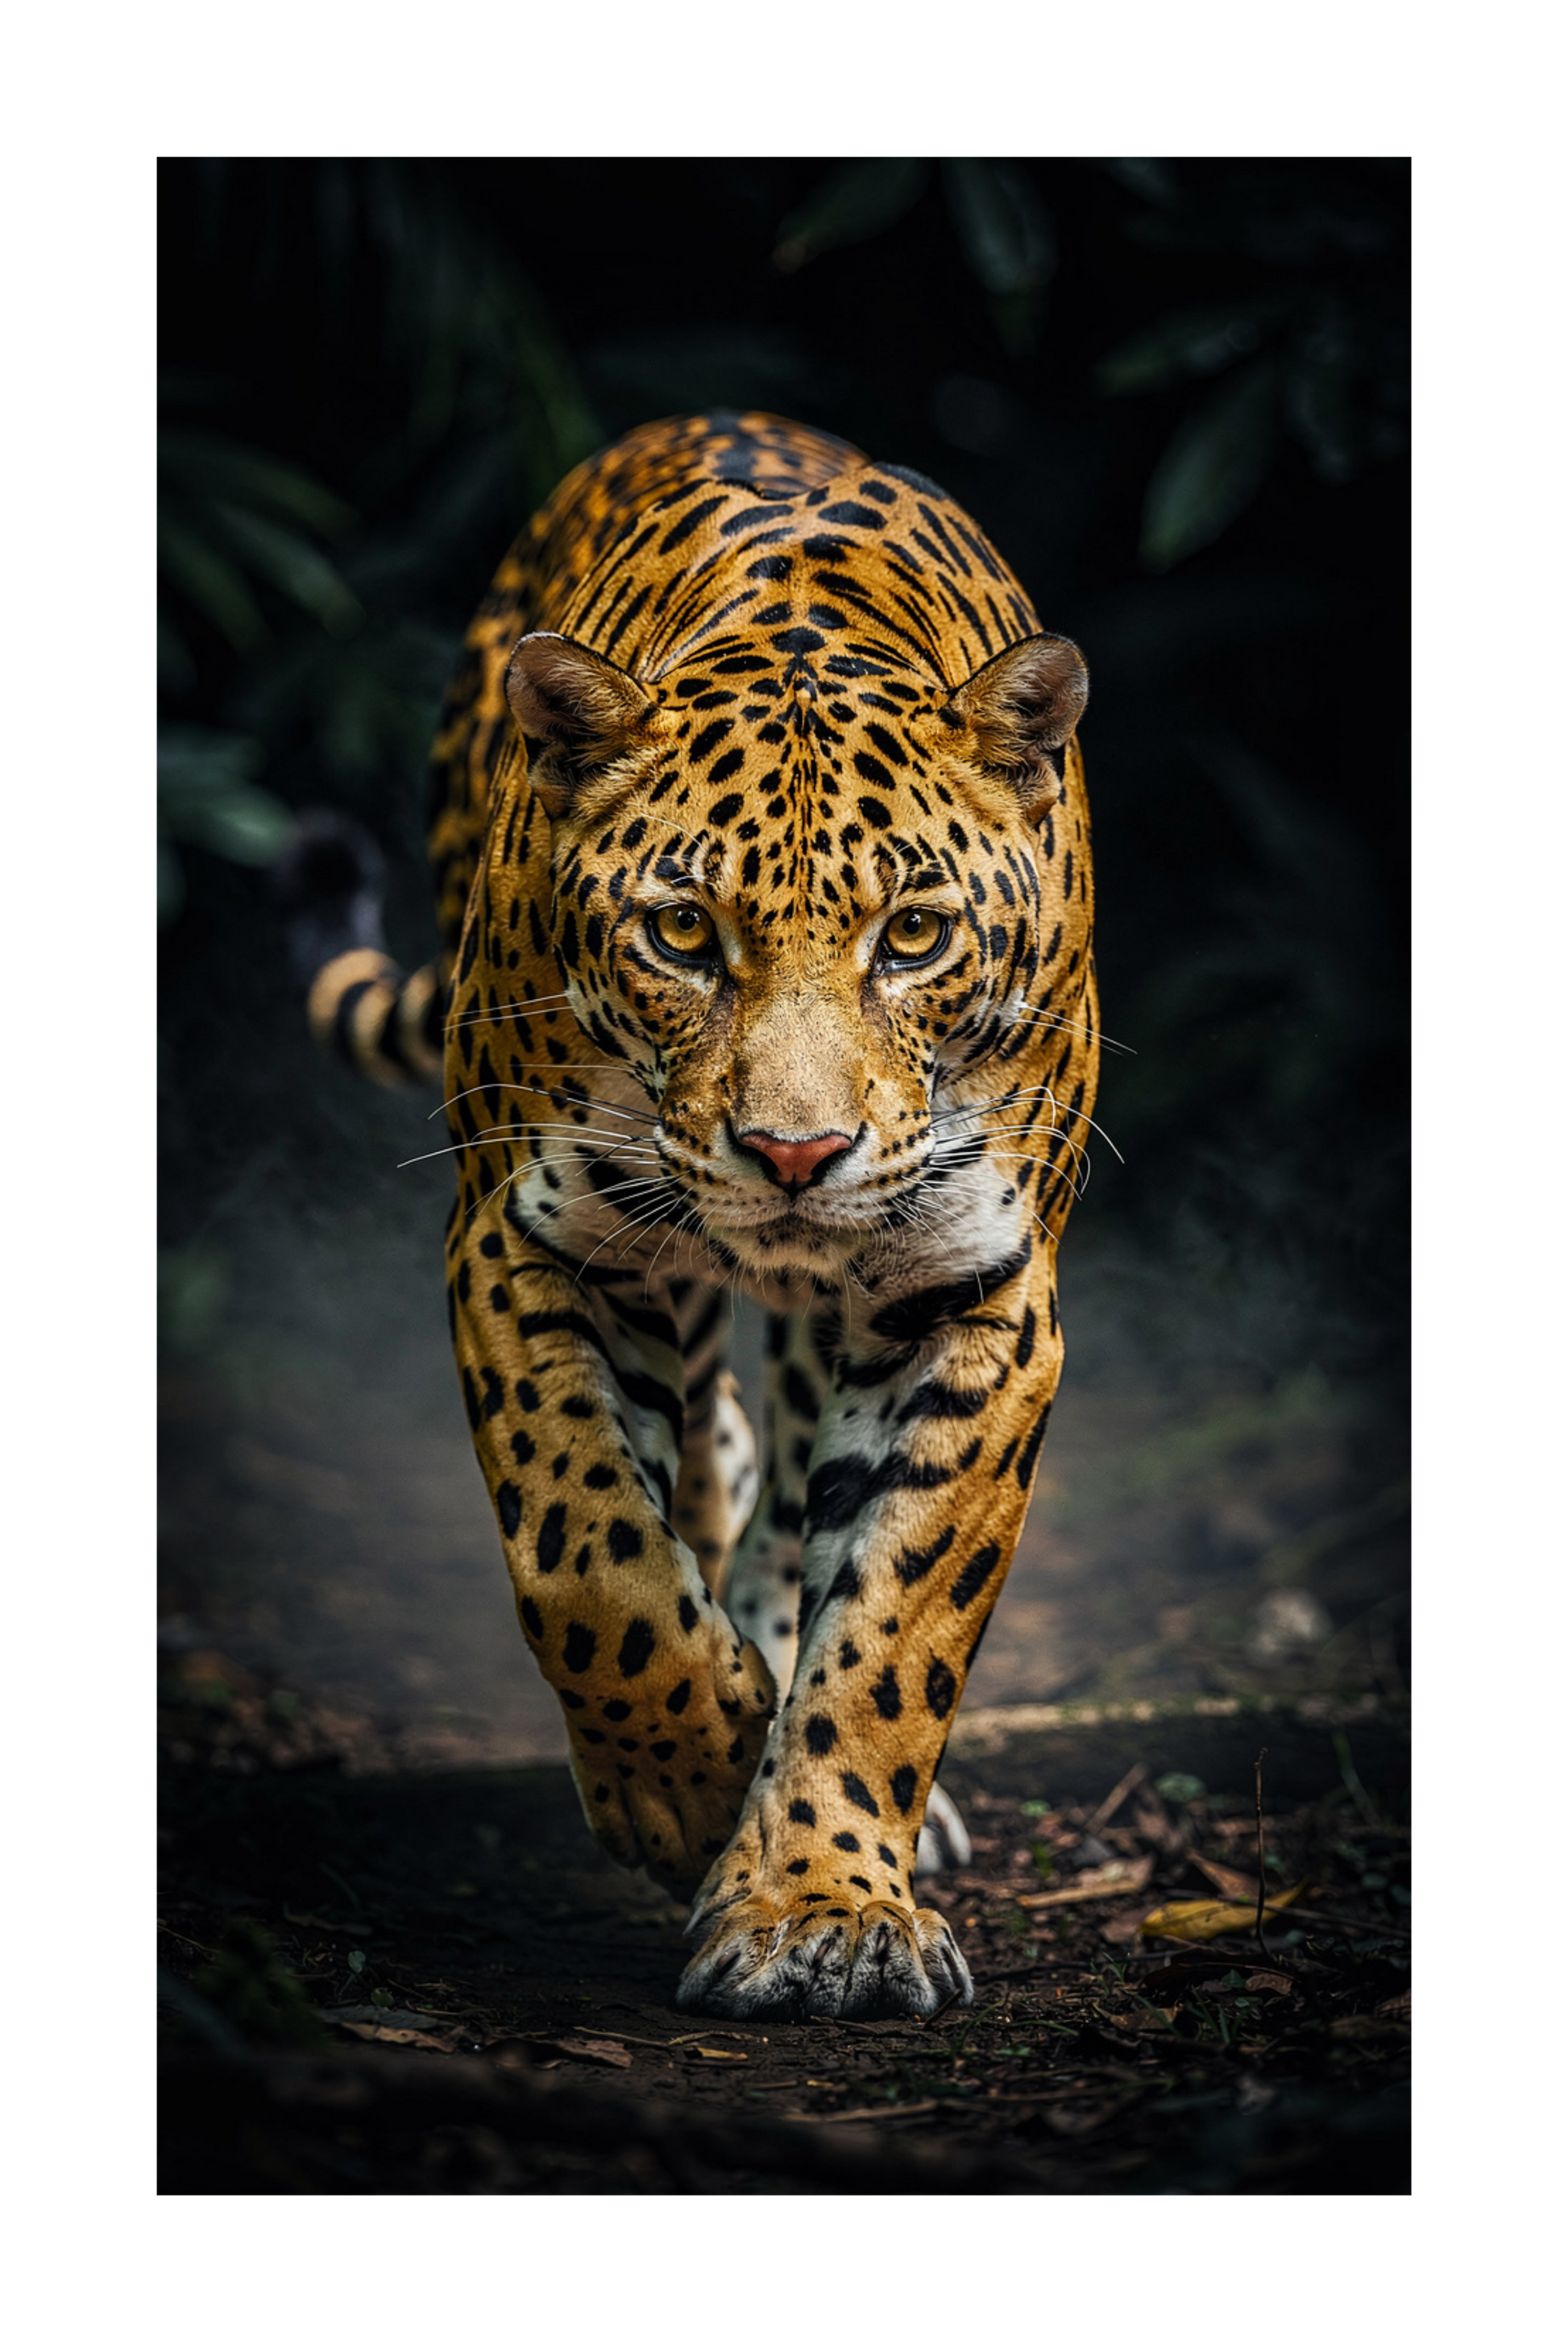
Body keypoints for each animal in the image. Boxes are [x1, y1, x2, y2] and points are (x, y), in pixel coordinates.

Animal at [298, 409, 1098, 2020]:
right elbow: (587, 1552)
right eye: (681, 931)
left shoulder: (977, 1288)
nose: (797, 1152)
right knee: (709, 1468)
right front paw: (688, 1786)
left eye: (913, 934)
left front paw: (819, 1904)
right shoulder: (529, 1238)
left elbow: (896, 1617)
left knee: (787, 1480)